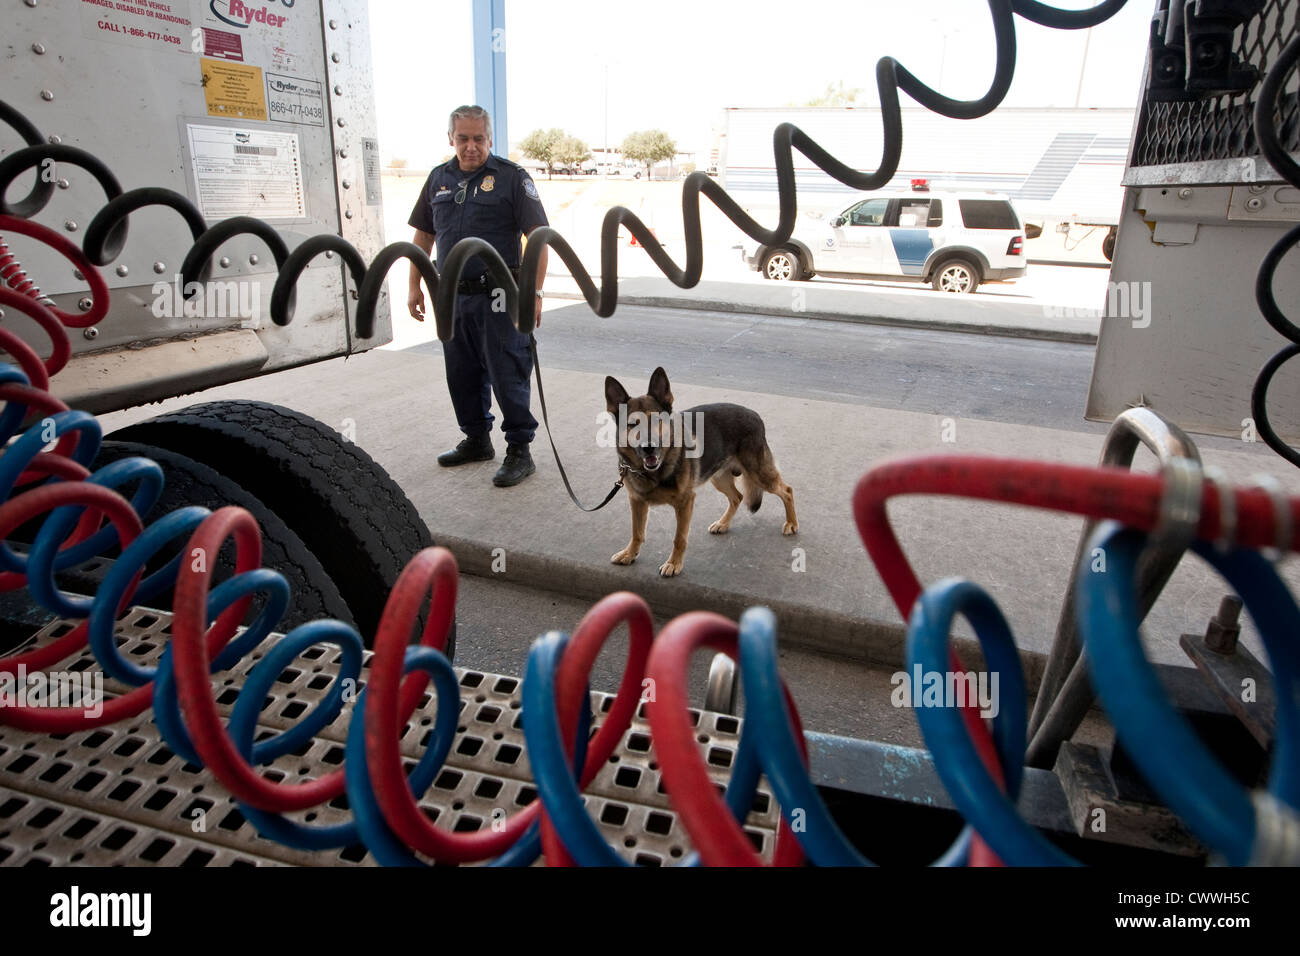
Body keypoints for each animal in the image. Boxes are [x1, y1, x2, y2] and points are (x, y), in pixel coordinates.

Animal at [603, 364, 795, 574]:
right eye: (632, 425)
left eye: (657, 421)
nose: (649, 447)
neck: (653, 472)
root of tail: (755, 415)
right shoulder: (637, 501)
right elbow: (636, 532)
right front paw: (629, 554)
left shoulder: (685, 502)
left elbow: (679, 538)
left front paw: (674, 563)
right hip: (718, 478)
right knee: (737, 497)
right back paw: (723, 523)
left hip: (760, 474)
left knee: (787, 490)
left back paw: (791, 524)